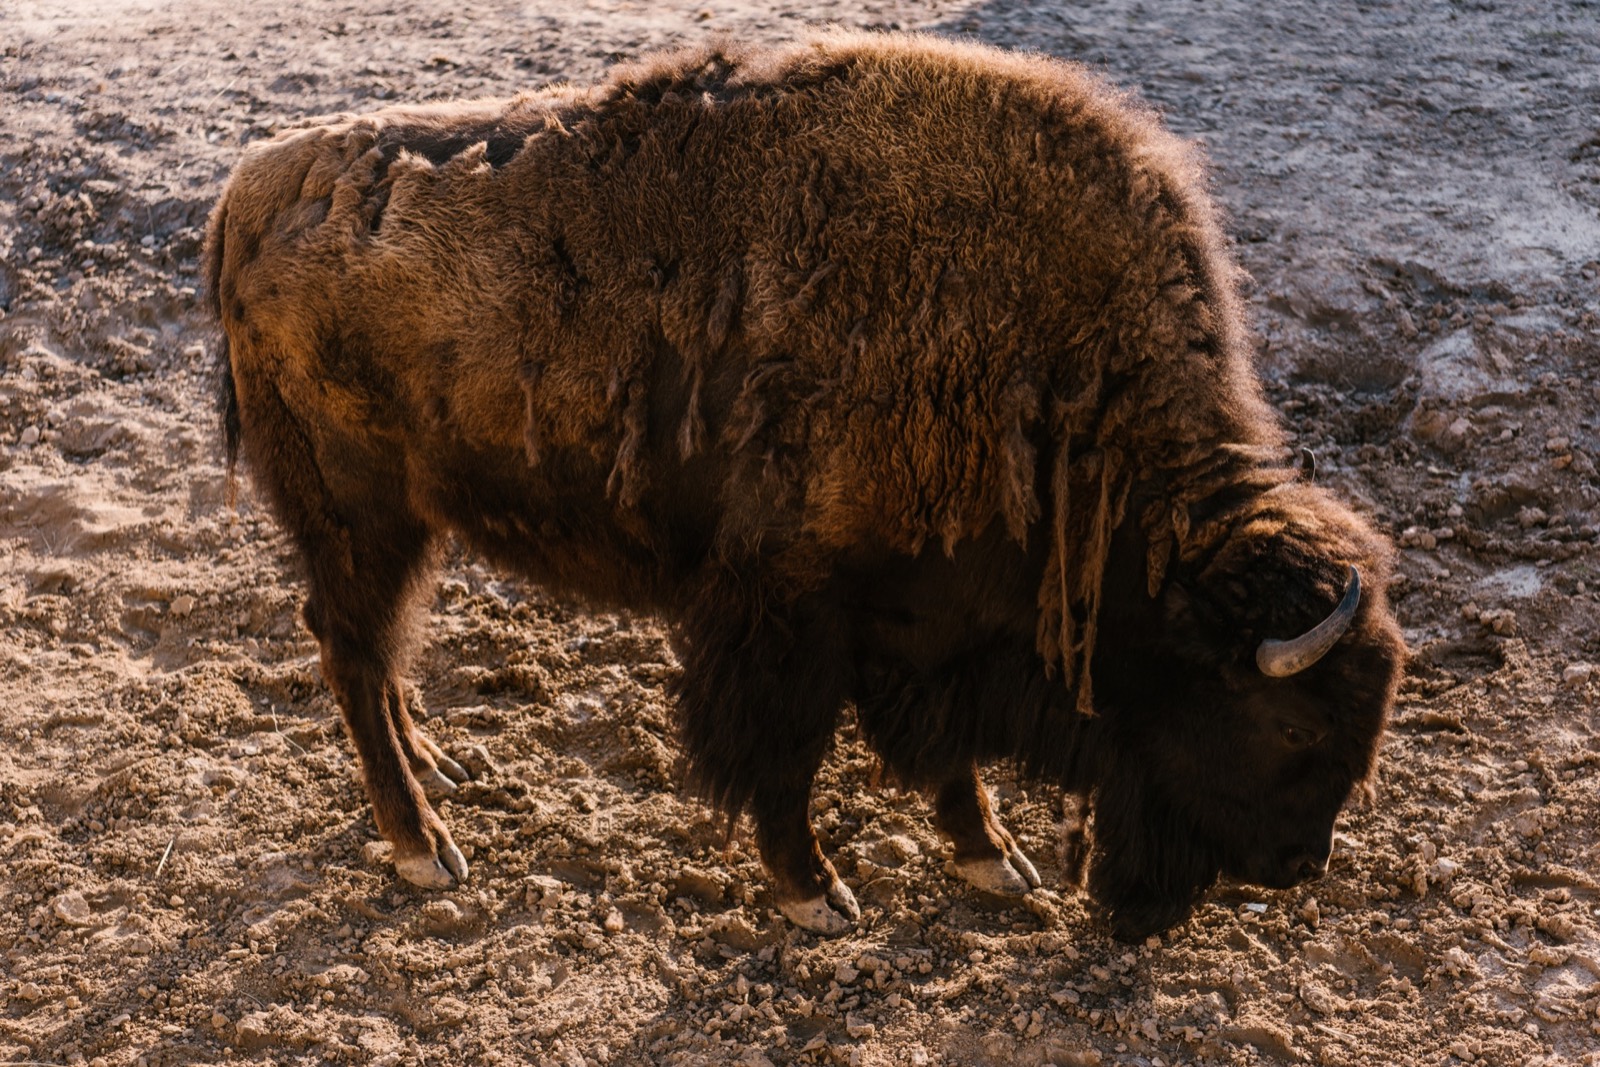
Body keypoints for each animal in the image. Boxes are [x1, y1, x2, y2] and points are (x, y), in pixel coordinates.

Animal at [205, 31, 1405, 940]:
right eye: (1292, 725)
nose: (1296, 863)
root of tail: (251, 195)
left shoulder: (920, 626)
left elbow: (946, 758)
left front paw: (995, 859)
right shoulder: (792, 608)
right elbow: (785, 752)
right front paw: (816, 891)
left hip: (407, 525)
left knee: (377, 654)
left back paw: (442, 769)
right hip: (363, 520)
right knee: (352, 650)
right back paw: (425, 846)